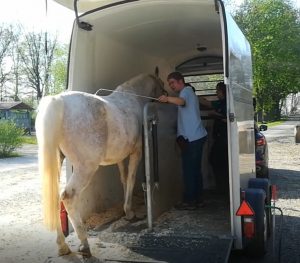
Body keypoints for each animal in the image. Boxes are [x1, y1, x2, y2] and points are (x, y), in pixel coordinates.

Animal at [36, 73, 166, 258]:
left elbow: (124, 179)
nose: (166, 96)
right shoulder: (136, 153)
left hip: (57, 163)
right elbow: (131, 179)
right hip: (85, 168)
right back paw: (84, 244)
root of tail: (58, 100)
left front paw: (125, 209)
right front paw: (129, 212)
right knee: (68, 197)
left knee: (55, 197)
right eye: (162, 85)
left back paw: (63, 246)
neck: (133, 97)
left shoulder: (120, 157)